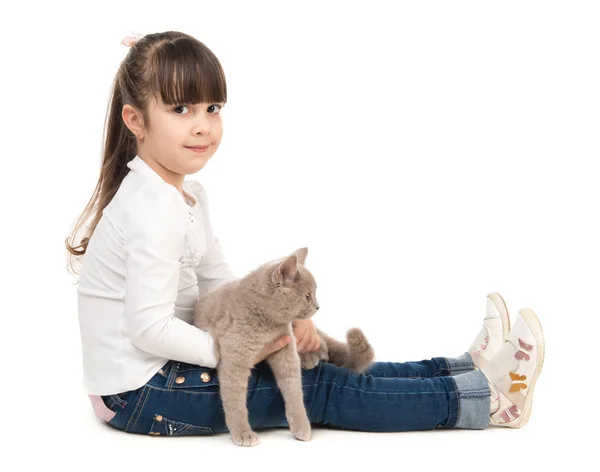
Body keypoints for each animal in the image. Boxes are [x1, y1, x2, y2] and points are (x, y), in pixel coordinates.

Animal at [192, 247, 372, 446]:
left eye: (313, 294)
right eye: (307, 296)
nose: (318, 307)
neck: (266, 323)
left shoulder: (287, 346)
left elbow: (294, 387)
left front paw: (302, 425)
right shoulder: (235, 358)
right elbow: (234, 398)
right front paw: (243, 433)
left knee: (324, 345)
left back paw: (312, 356)